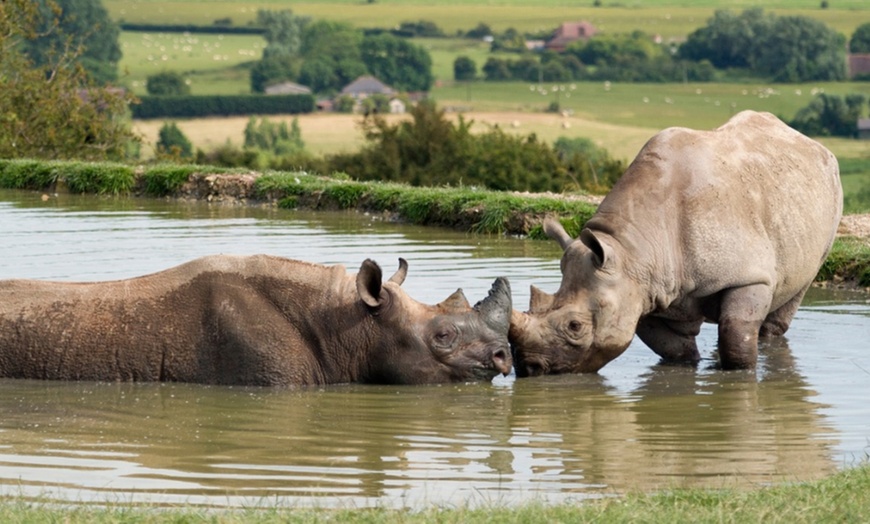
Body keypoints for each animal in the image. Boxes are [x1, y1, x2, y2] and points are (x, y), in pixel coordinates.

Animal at [510, 110, 844, 374]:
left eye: (575, 326)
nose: (529, 368)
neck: (629, 250)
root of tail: (808, 141)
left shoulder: (750, 277)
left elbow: (736, 338)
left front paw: (739, 375)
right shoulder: (646, 290)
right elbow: (675, 349)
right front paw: (689, 368)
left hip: (830, 194)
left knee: (791, 294)